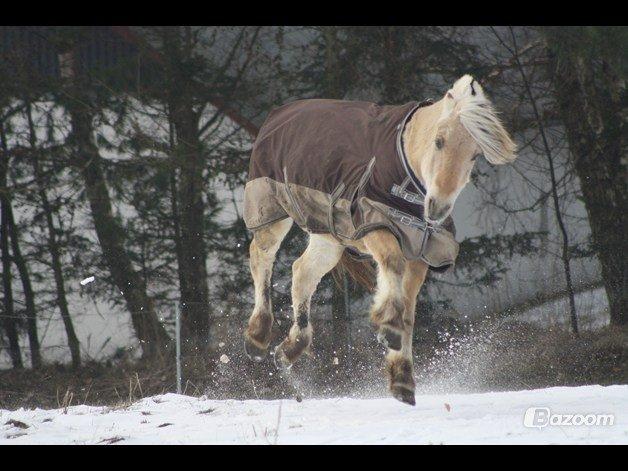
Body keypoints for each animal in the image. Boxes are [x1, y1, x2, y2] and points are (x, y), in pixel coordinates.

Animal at [240, 74, 516, 406]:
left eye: (475, 154)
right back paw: (258, 337)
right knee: (261, 258)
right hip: (271, 208)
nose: (437, 208)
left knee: (302, 273)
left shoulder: (420, 251)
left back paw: (290, 349)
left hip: (329, 234)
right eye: (439, 140)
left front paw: (402, 379)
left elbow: (408, 307)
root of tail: (279, 113)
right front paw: (388, 325)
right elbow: (391, 266)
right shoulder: (375, 225)